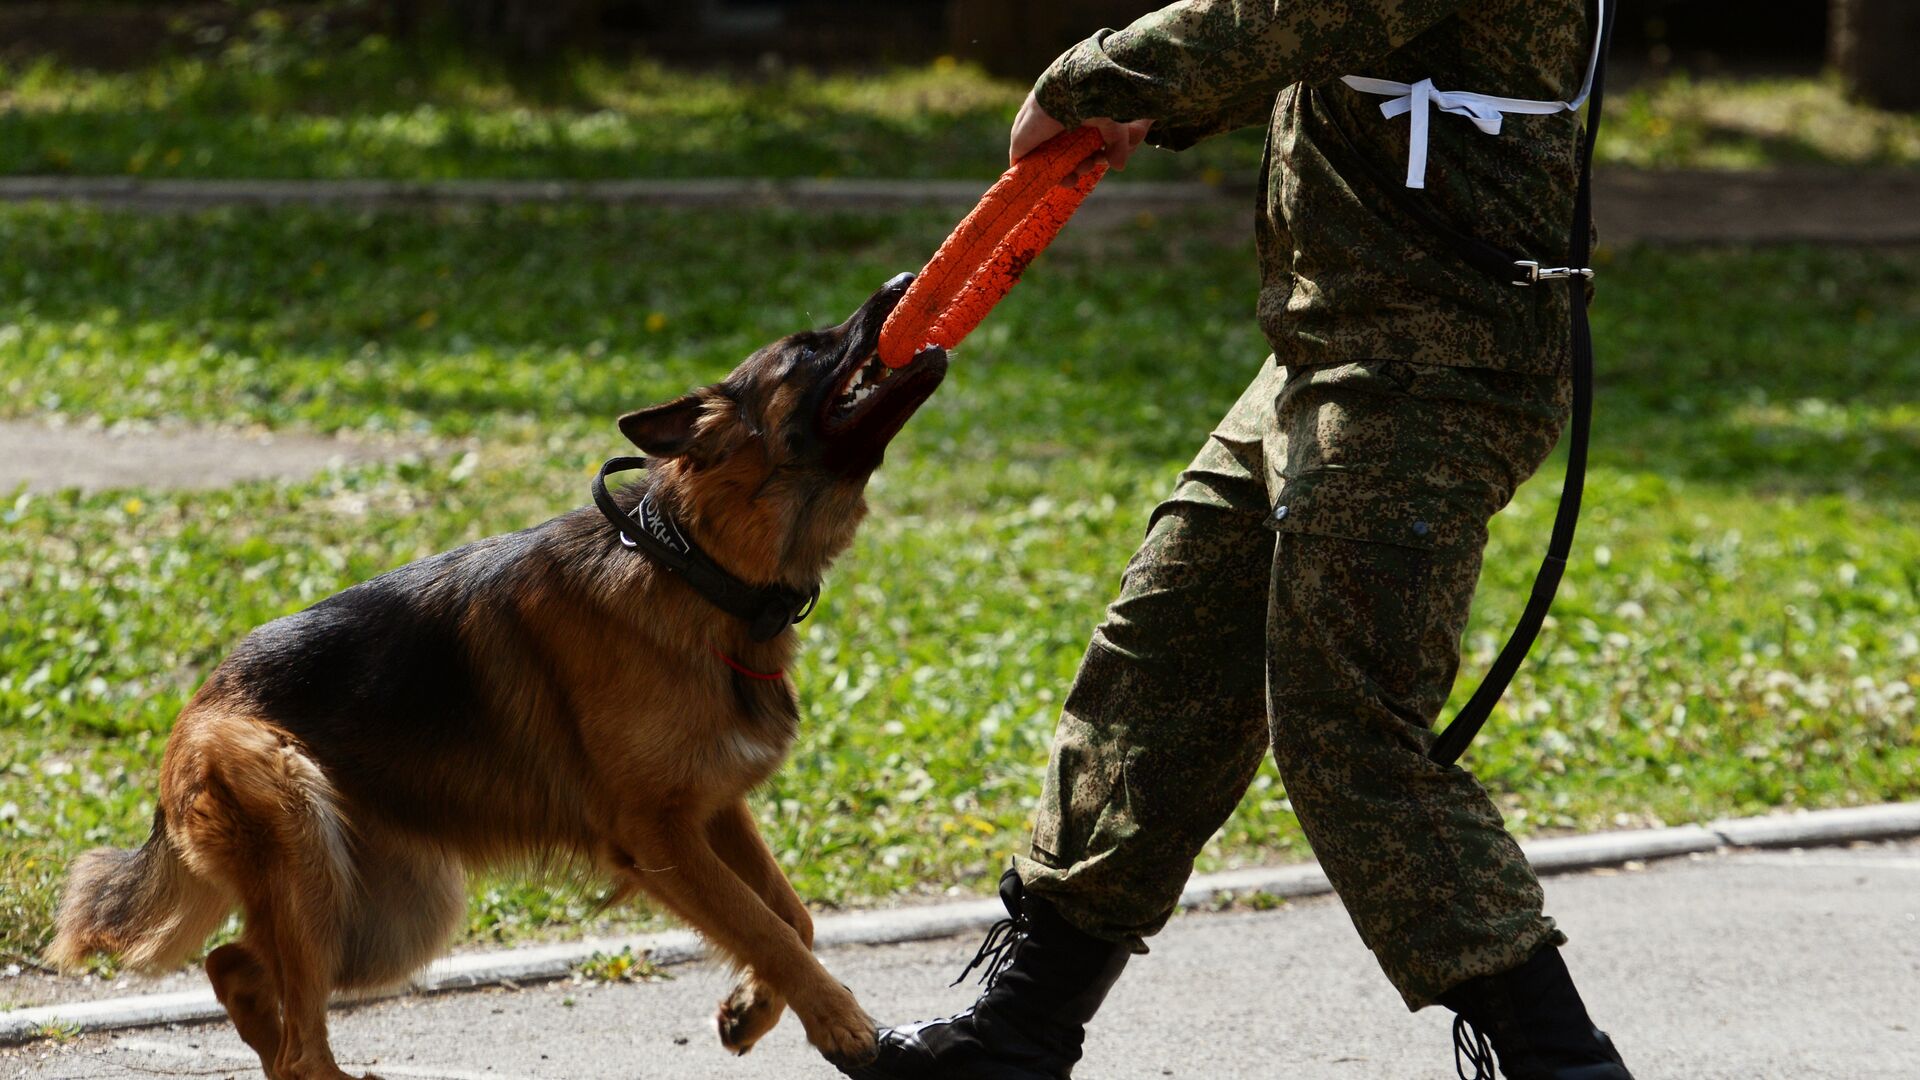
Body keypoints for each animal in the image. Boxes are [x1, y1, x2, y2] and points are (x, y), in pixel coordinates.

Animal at [45, 272, 944, 1068]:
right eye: (809, 348)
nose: (906, 279)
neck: (695, 567)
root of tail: (198, 706)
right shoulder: (660, 834)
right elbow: (764, 926)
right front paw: (837, 1019)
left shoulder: (712, 809)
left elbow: (791, 920)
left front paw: (753, 1008)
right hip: (309, 847)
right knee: (294, 1036)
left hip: (391, 916)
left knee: (236, 968)